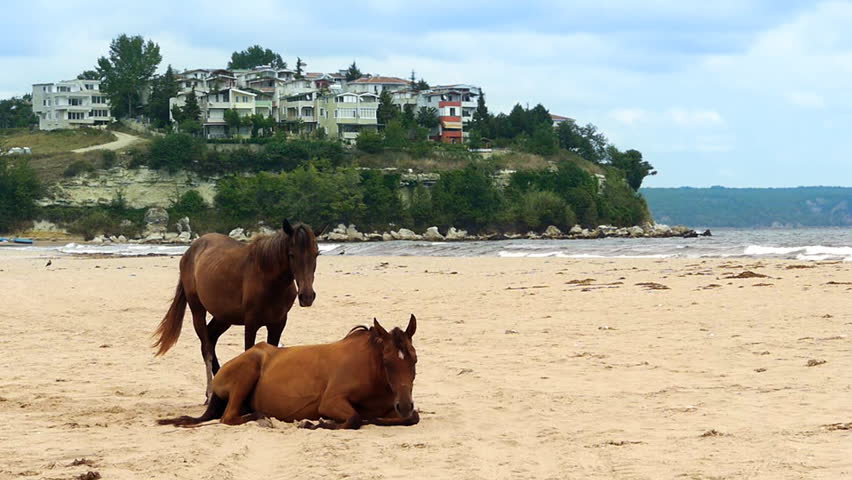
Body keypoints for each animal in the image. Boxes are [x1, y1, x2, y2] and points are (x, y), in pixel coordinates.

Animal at [152, 219, 318, 401]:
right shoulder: (251, 323)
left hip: (224, 317)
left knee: (211, 338)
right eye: (291, 254)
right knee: (206, 348)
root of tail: (191, 250)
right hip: (198, 311)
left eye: (316, 254)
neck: (268, 278)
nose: (307, 296)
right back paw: (210, 392)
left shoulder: (278, 323)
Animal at [158, 315, 419, 430]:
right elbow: (355, 419)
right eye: (387, 362)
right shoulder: (331, 401)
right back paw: (262, 417)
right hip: (247, 371)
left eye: (415, 360)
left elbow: (411, 418)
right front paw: (316, 423)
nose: (404, 404)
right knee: (228, 418)